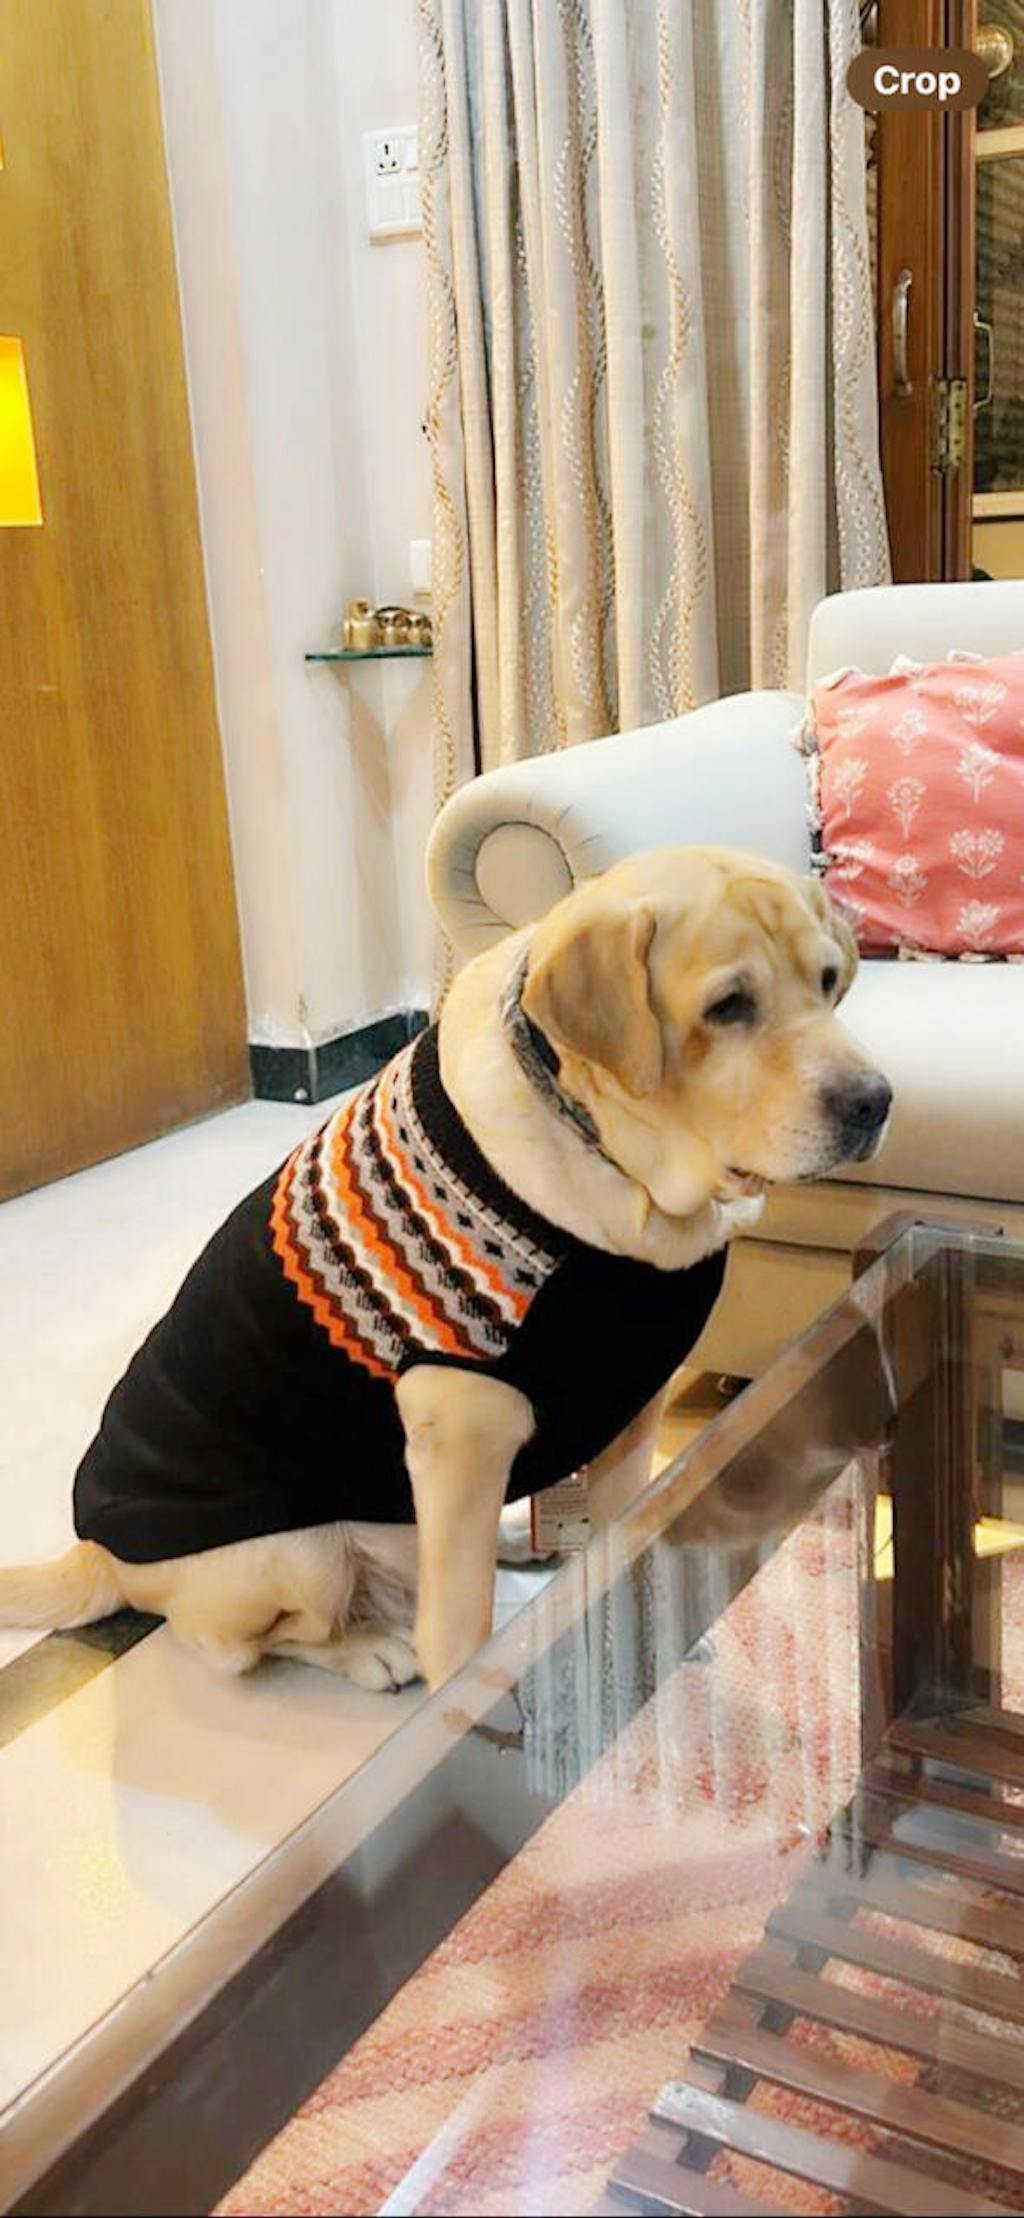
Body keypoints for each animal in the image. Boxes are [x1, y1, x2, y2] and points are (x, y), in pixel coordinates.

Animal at [0, 846, 891, 1692]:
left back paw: (518, 1536)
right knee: (244, 1646)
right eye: (728, 1005)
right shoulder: (466, 1426)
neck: (616, 1169)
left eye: (828, 981)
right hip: (296, 1554)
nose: (874, 1101)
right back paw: (370, 1649)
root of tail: (97, 1552)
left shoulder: (633, 1403)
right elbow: (458, 1627)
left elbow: (625, 1535)